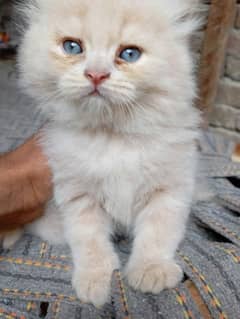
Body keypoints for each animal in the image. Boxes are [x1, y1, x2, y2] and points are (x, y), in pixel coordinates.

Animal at [9, 0, 201, 308]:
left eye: (130, 54)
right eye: (72, 47)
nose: (96, 74)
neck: (112, 137)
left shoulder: (169, 189)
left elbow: (157, 234)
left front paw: (151, 270)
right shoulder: (77, 195)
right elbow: (90, 242)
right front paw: (94, 282)